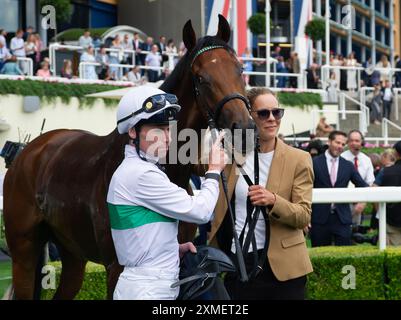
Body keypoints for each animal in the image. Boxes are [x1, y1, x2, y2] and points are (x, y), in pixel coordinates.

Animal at [3, 14, 253, 300]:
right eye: (201, 78)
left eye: (240, 70)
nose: (244, 128)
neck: (167, 171)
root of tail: (30, 150)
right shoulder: (116, 268)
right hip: (24, 251)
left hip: (73, 253)